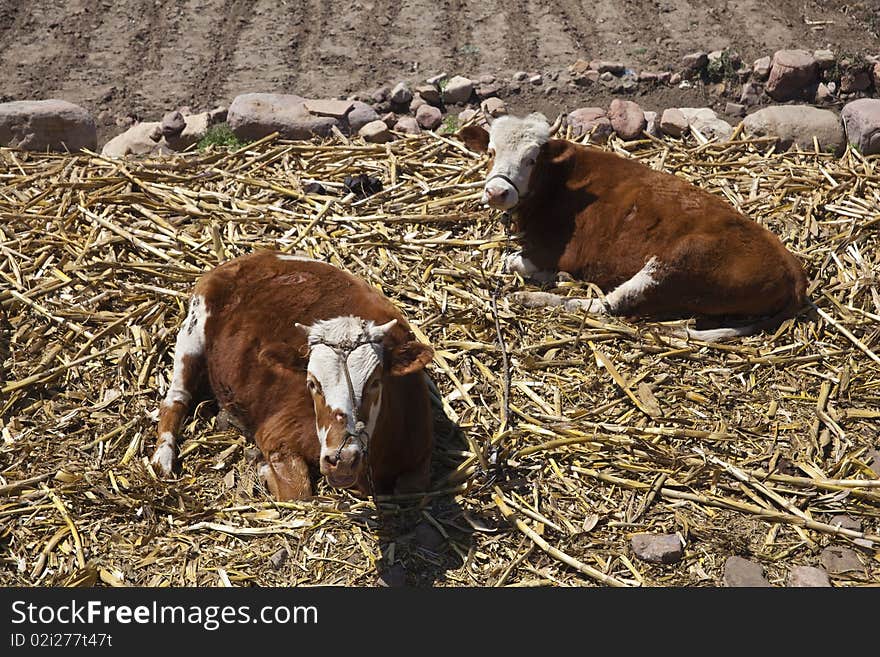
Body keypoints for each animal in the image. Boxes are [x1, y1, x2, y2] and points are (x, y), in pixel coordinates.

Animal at [153, 250, 438, 498]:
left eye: (376, 382)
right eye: (312, 384)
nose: (342, 459)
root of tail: (258, 256)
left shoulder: (421, 449)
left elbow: (412, 486)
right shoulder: (278, 433)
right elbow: (298, 492)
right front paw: (262, 466)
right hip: (193, 329)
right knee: (176, 398)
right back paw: (162, 459)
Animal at [458, 113, 808, 340]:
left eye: (531, 159)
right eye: (490, 152)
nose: (497, 192)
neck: (560, 181)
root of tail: (793, 270)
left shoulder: (555, 250)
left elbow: (512, 261)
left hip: (677, 263)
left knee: (606, 305)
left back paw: (532, 297)